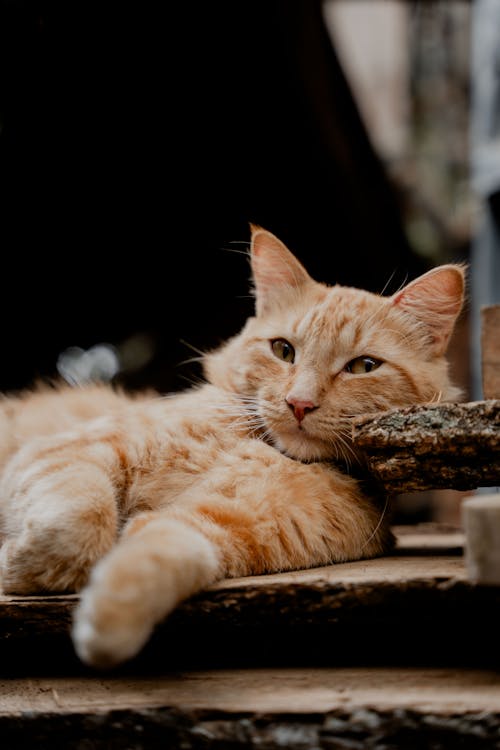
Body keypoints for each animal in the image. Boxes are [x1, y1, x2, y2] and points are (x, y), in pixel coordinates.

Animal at [0, 226, 462, 668]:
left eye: (364, 366)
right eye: (283, 350)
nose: (299, 403)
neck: (264, 448)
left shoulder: (219, 525)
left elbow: (157, 555)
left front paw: (108, 627)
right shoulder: (69, 452)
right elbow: (81, 523)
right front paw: (19, 564)